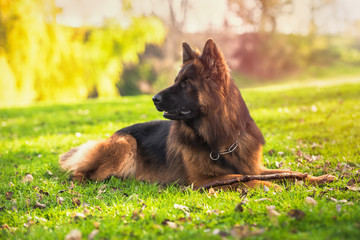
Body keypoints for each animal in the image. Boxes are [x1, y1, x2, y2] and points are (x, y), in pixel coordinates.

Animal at [61, 39, 334, 189]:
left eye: (185, 84)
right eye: (176, 81)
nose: (153, 98)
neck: (220, 139)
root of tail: (116, 133)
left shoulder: (254, 166)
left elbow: (287, 173)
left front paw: (317, 178)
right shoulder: (202, 181)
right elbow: (243, 180)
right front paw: (267, 186)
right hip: (126, 144)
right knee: (80, 172)